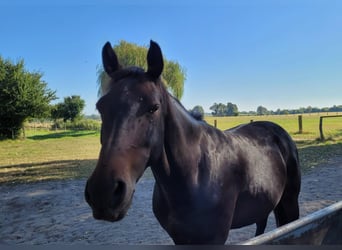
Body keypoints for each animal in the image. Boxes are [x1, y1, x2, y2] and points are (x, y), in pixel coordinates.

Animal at [84, 40, 300, 244]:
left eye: (154, 107)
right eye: (100, 106)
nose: (103, 192)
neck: (194, 174)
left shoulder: (214, 239)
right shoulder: (180, 238)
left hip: (290, 204)